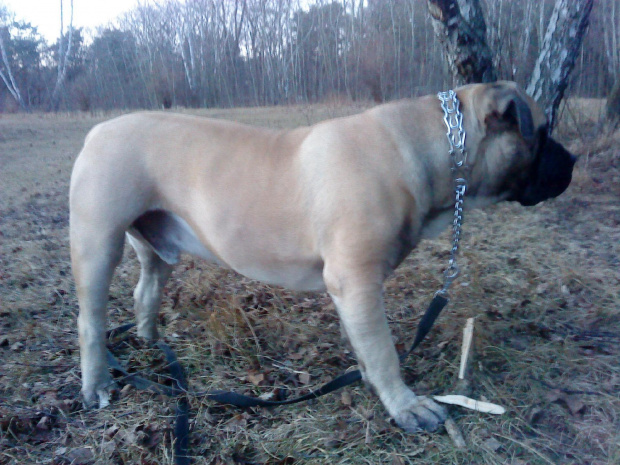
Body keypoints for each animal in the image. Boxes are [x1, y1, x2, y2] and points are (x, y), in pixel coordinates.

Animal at [70, 80, 572, 432]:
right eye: (543, 132)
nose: (572, 160)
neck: (435, 149)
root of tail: (96, 131)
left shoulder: (356, 293)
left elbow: (366, 347)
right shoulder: (358, 281)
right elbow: (384, 350)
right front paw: (406, 406)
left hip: (155, 249)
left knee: (145, 291)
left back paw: (152, 344)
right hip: (97, 243)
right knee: (90, 320)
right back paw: (97, 385)